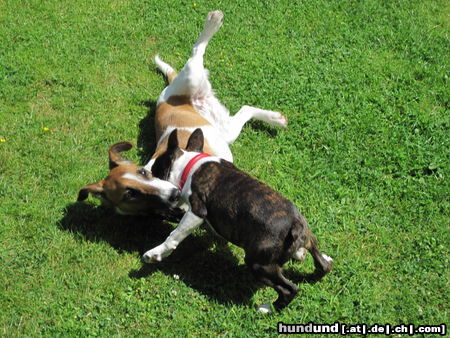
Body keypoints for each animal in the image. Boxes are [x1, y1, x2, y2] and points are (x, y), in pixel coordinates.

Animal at [77, 11, 288, 217]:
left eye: (143, 172)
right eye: (131, 195)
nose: (173, 193)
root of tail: (167, 92)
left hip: (191, 80)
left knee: (196, 51)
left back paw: (213, 20)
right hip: (225, 130)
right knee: (245, 108)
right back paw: (276, 119)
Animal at [142, 129, 332, 312]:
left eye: (154, 171)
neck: (190, 165)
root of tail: (295, 224)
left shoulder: (197, 210)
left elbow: (175, 235)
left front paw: (156, 253)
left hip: (259, 264)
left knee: (289, 289)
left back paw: (267, 308)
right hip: (307, 240)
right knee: (322, 265)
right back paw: (321, 260)